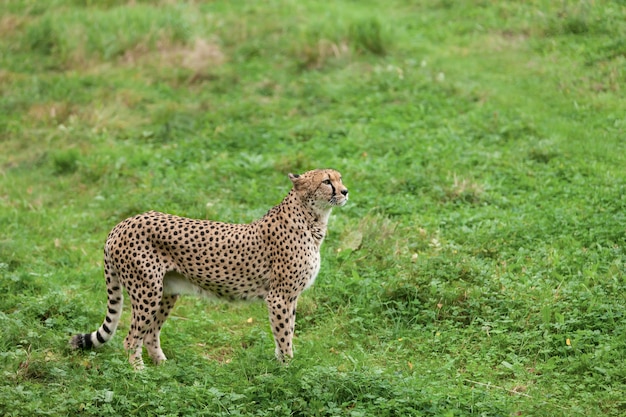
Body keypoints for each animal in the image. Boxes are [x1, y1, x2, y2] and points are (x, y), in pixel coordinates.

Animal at [70, 167, 348, 366]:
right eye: (327, 181)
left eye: (340, 178)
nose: (345, 191)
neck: (311, 217)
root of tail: (122, 223)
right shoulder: (280, 297)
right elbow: (284, 334)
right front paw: (287, 369)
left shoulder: (289, 297)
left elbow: (286, 331)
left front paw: (283, 365)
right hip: (146, 290)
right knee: (130, 339)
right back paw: (140, 374)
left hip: (167, 291)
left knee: (149, 334)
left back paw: (165, 368)